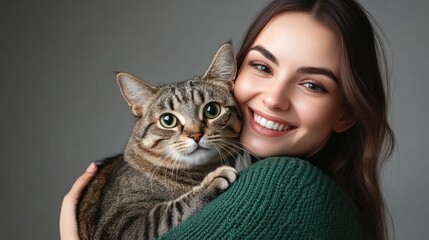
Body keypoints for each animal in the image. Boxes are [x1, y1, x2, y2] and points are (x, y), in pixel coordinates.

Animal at [76, 44, 244, 239]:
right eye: (168, 120)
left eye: (212, 110)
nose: (196, 135)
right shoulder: (120, 228)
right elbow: (167, 213)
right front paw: (212, 182)